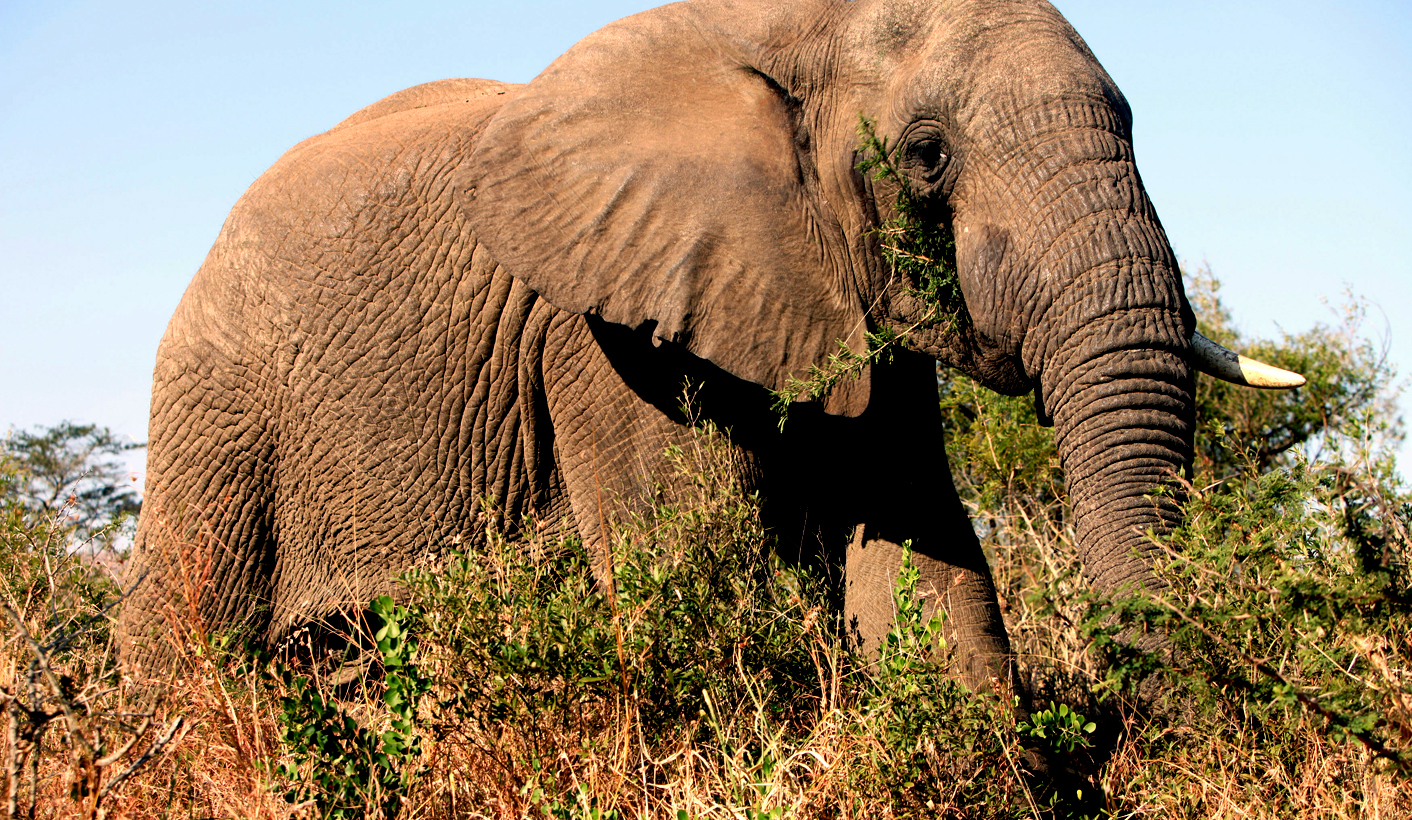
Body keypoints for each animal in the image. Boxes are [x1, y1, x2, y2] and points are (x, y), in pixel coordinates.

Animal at [118, 0, 1302, 696]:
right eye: (927, 156)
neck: (795, 28)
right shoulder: (602, 331)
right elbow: (688, 562)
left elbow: (919, 551)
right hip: (218, 414)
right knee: (190, 651)